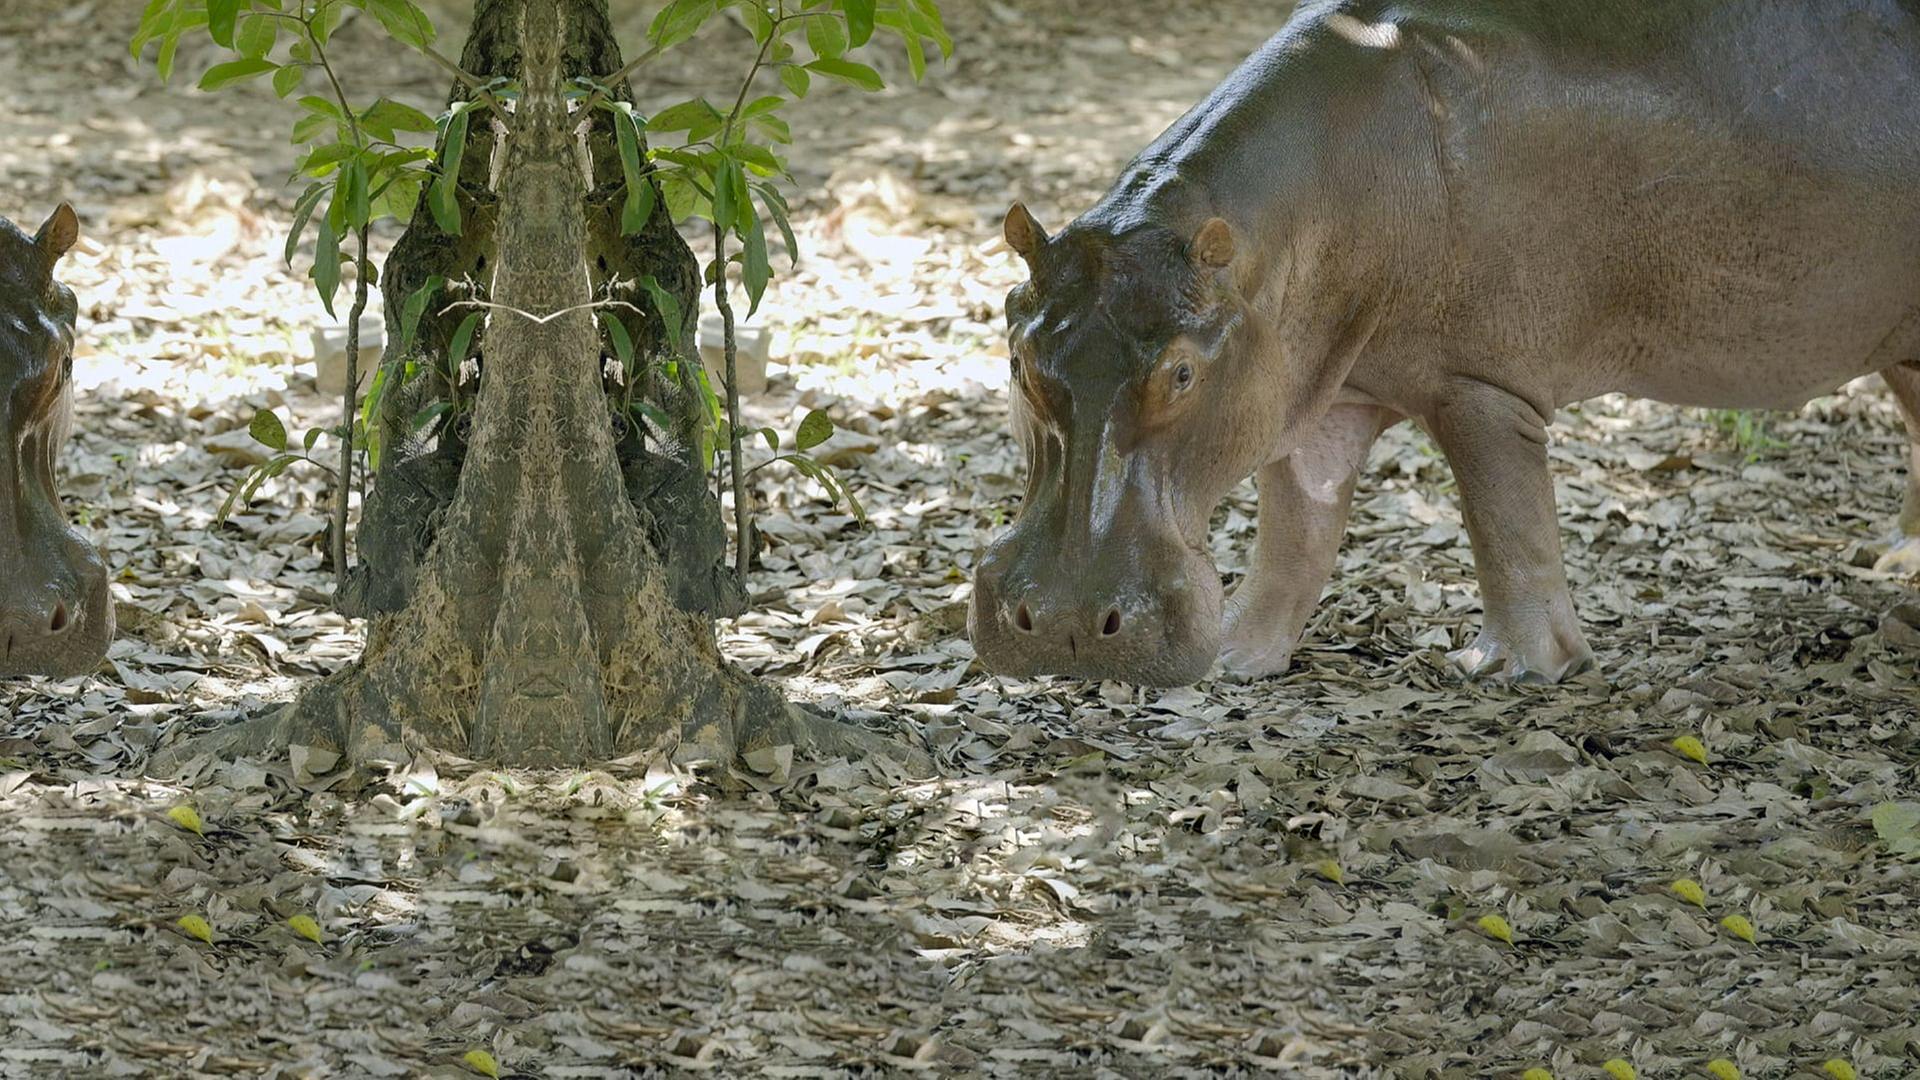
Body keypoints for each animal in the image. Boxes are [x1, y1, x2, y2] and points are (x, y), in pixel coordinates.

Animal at [970, 0, 1920, 687]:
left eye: (1180, 371)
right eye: (1016, 355)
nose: (1062, 626)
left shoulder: (1479, 383)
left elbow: (1508, 525)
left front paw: (1507, 672)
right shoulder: (1316, 391)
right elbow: (1296, 536)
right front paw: (1239, 659)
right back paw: (1897, 569)